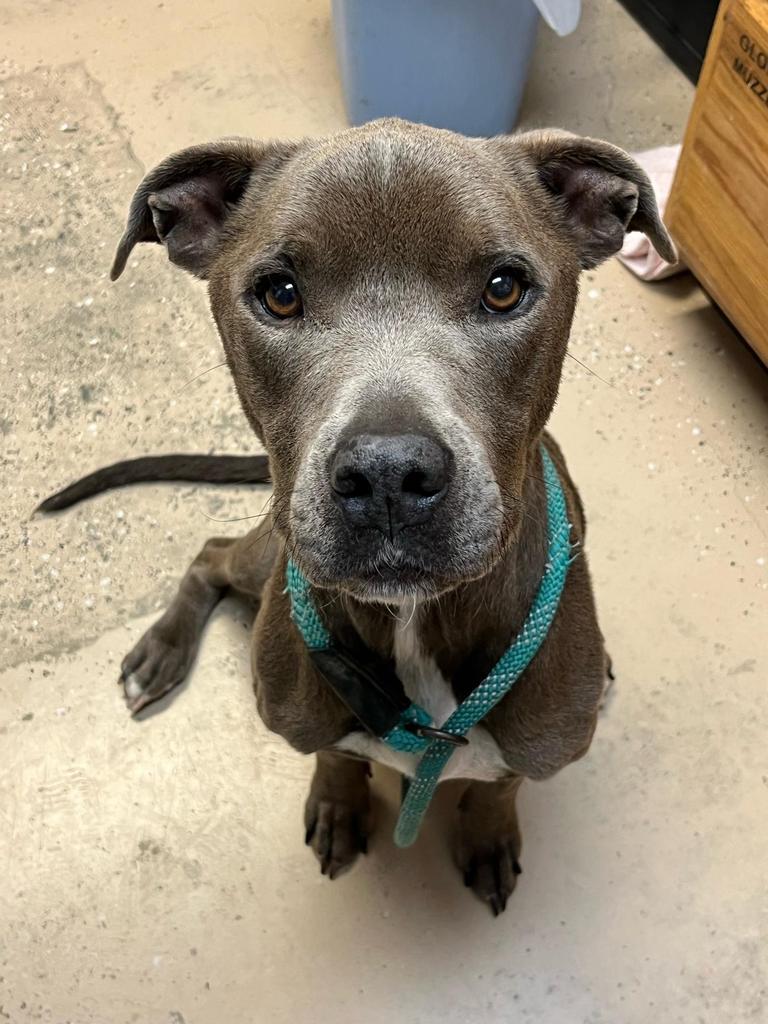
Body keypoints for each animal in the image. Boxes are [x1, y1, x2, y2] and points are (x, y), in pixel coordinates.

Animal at [41, 117, 675, 913]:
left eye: (504, 288)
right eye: (279, 294)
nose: (387, 477)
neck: (412, 626)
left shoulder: (540, 745)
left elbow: (501, 786)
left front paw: (487, 833)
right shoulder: (303, 710)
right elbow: (335, 759)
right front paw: (341, 806)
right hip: (266, 554)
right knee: (211, 551)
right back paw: (162, 651)